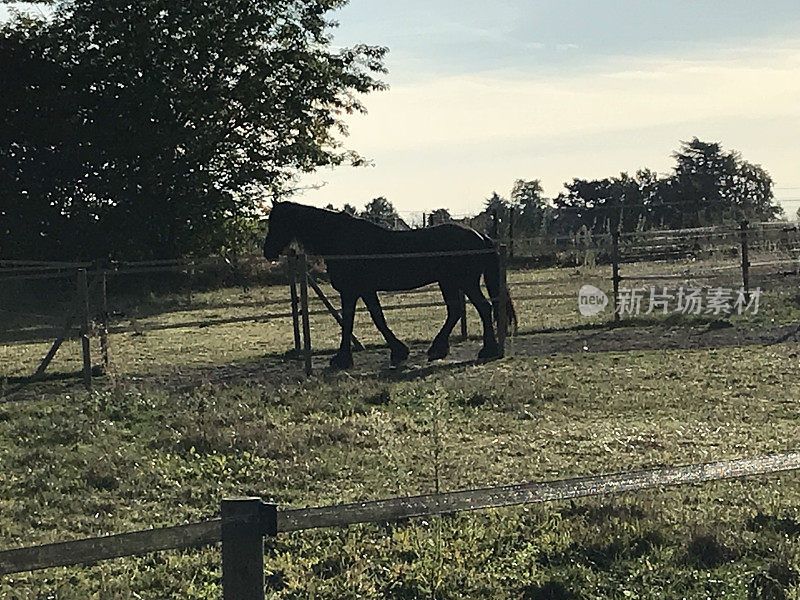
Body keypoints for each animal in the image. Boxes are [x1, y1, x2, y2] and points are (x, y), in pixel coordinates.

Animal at [260, 203, 516, 370]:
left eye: (277, 222)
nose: (267, 251)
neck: (342, 239)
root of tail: (481, 236)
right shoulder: (364, 291)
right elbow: (377, 318)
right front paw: (398, 351)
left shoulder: (352, 291)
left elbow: (357, 321)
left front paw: (343, 359)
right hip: (450, 283)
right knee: (456, 311)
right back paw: (439, 349)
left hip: (464, 282)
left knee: (483, 308)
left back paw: (487, 349)